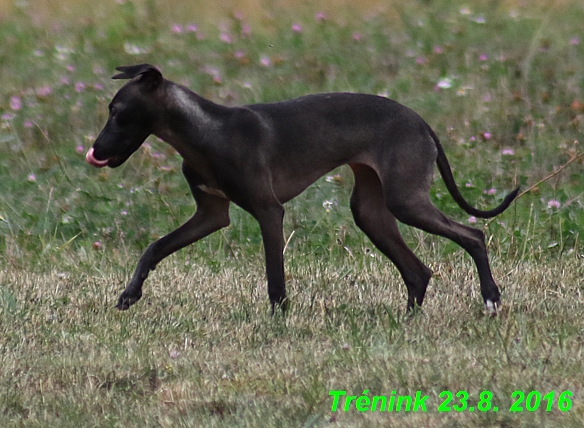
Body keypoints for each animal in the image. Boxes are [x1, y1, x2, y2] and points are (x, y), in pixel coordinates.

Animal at [84, 63, 516, 314]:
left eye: (117, 112)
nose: (96, 152)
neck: (206, 131)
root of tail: (421, 122)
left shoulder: (268, 211)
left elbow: (275, 278)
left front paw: (278, 320)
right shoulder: (211, 215)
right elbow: (154, 247)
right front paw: (130, 294)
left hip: (405, 200)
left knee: (473, 235)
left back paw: (491, 298)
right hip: (371, 211)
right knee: (418, 272)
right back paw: (408, 320)